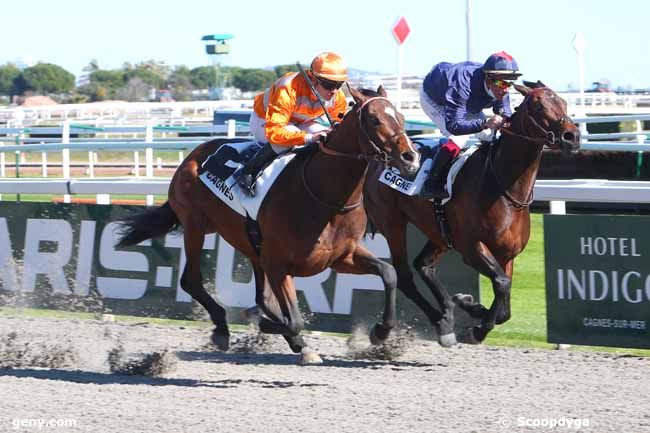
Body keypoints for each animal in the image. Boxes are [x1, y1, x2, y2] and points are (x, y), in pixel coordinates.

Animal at [114, 86, 418, 362]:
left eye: (402, 117)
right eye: (374, 119)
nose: (410, 157)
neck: (325, 195)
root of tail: (193, 155)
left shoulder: (340, 256)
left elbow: (389, 272)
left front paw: (380, 331)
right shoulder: (278, 263)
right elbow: (293, 319)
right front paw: (263, 323)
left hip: (249, 244)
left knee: (262, 297)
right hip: (195, 225)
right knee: (191, 280)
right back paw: (223, 328)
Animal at [362, 81, 580, 344]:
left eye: (563, 102)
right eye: (538, 106)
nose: (572, 136)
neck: (502, 186)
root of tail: (379, 159)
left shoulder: (507, 255)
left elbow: (505, 304)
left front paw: (470, 306)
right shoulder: (471, 247)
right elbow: (502, 283)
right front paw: (478, 327)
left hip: (439, 231)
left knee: (423, 265)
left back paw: (447, 312)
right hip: (392, 223)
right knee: (404, 275)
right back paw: (429, 323)